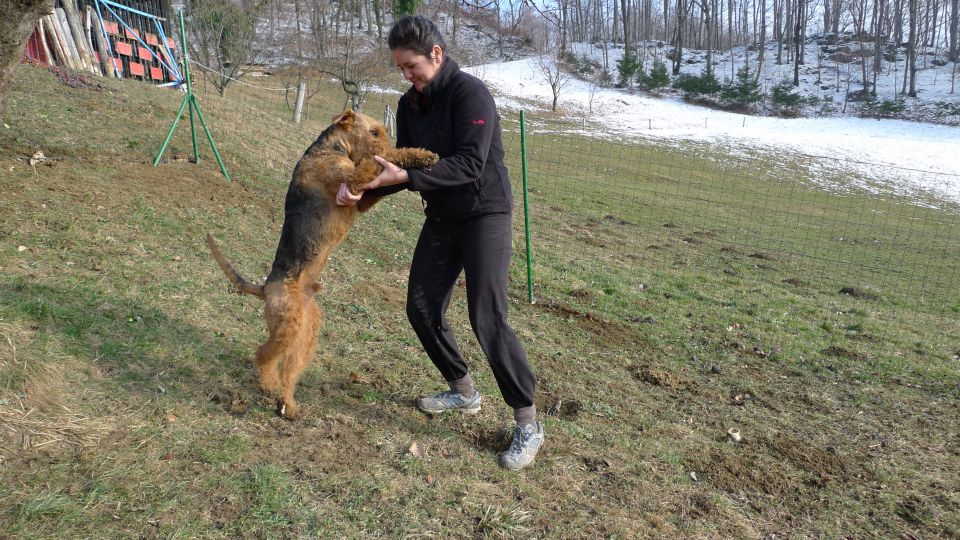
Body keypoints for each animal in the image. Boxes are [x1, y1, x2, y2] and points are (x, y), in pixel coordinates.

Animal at [208, 110, 440, 422]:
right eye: (374, 132)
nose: (387, 140)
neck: (331, 148)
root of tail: (265, 287)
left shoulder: (362, 198)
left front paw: (423, 157)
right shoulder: (352, 182)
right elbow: (381, 159)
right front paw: (418, 155)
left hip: (306, 333)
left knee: (288, 369)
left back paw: (288, 405)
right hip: (288, 326)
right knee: (263, 354)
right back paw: (271, 389)